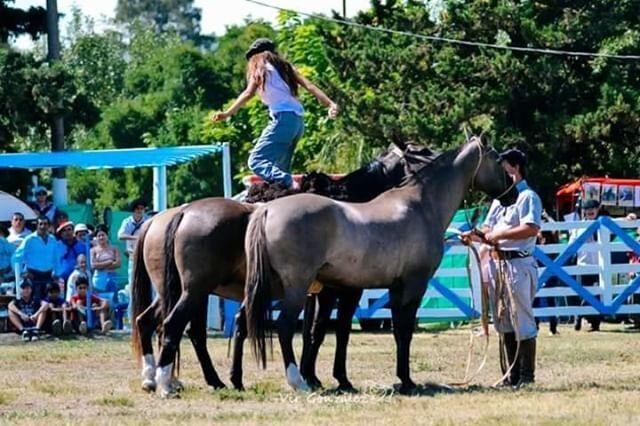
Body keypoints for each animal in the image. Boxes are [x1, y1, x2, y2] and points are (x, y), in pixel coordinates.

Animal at [131, 145, 420, 398]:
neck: (351, 210)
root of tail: (173, 216)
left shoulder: (312, 292)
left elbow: (310, 331)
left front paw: (310, 375)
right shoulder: (341, 291)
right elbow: (333, 330)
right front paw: (331, 378)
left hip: (180, 291)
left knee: (157, 324)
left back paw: (162, 379)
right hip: (195, 291)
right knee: (178, 328)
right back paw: (175, 381)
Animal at [242, 136, 516, 392]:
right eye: (497, 160)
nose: (512, 194)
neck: (421, 204)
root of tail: (267, 209)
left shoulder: (394, 288)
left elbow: (393, 332)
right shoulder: (413, 286)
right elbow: (404, 330)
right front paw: (407, 381)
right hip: (295, 289)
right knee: (284, 326)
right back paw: (297, 381)